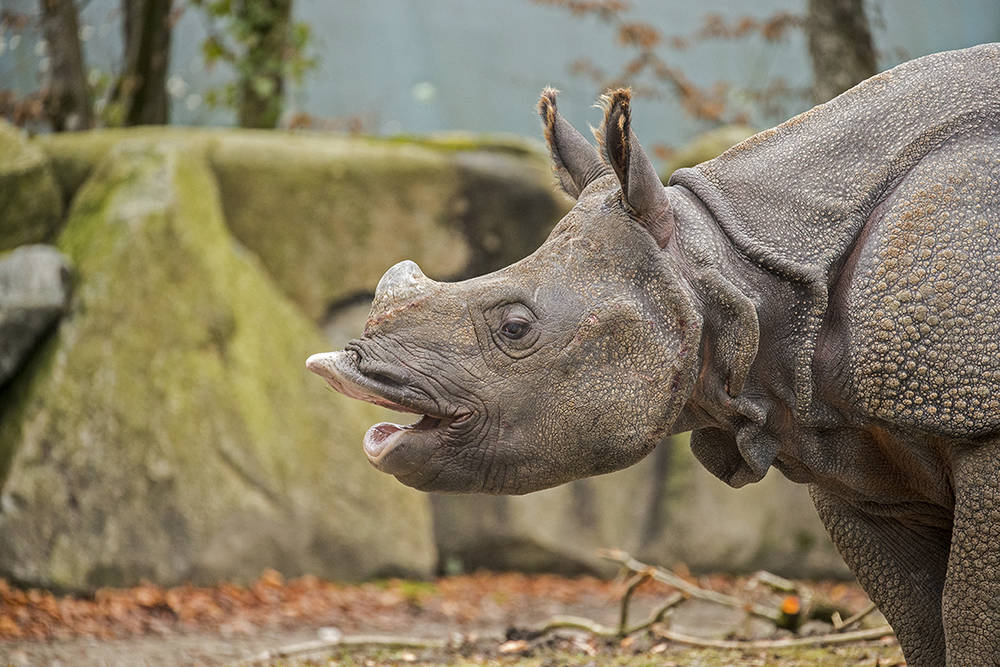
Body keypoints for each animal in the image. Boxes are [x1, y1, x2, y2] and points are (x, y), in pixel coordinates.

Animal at [307, 44, 1000, 666]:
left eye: (515, 327)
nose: (346, 369)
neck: (730, 269)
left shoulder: (979, 428)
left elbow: (969, 623)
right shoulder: (844, 444)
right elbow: (922, 624)